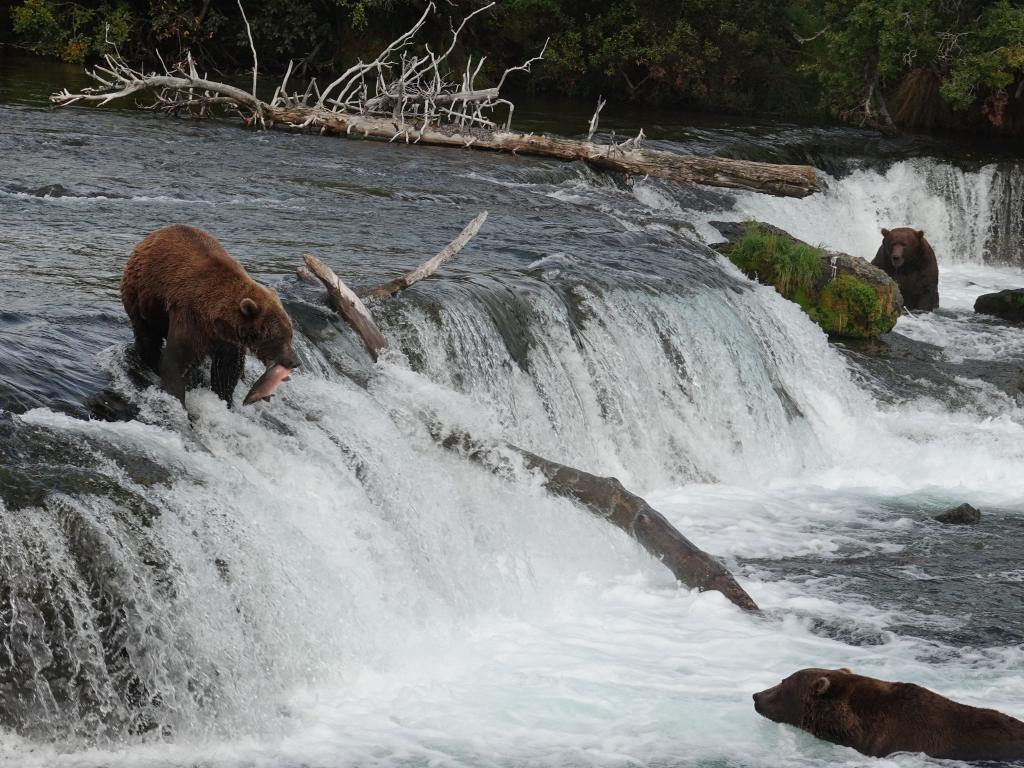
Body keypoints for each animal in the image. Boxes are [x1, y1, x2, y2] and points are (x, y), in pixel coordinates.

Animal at [120, 225, 296, 405]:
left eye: (290, 334)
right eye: (278, 337)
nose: (295, 361)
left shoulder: (227, 339)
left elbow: (227, 370)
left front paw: (224, 397)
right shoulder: (190, 318)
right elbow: (175, 362)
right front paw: (179, 399)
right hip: (140, 299)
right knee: (146, 337)